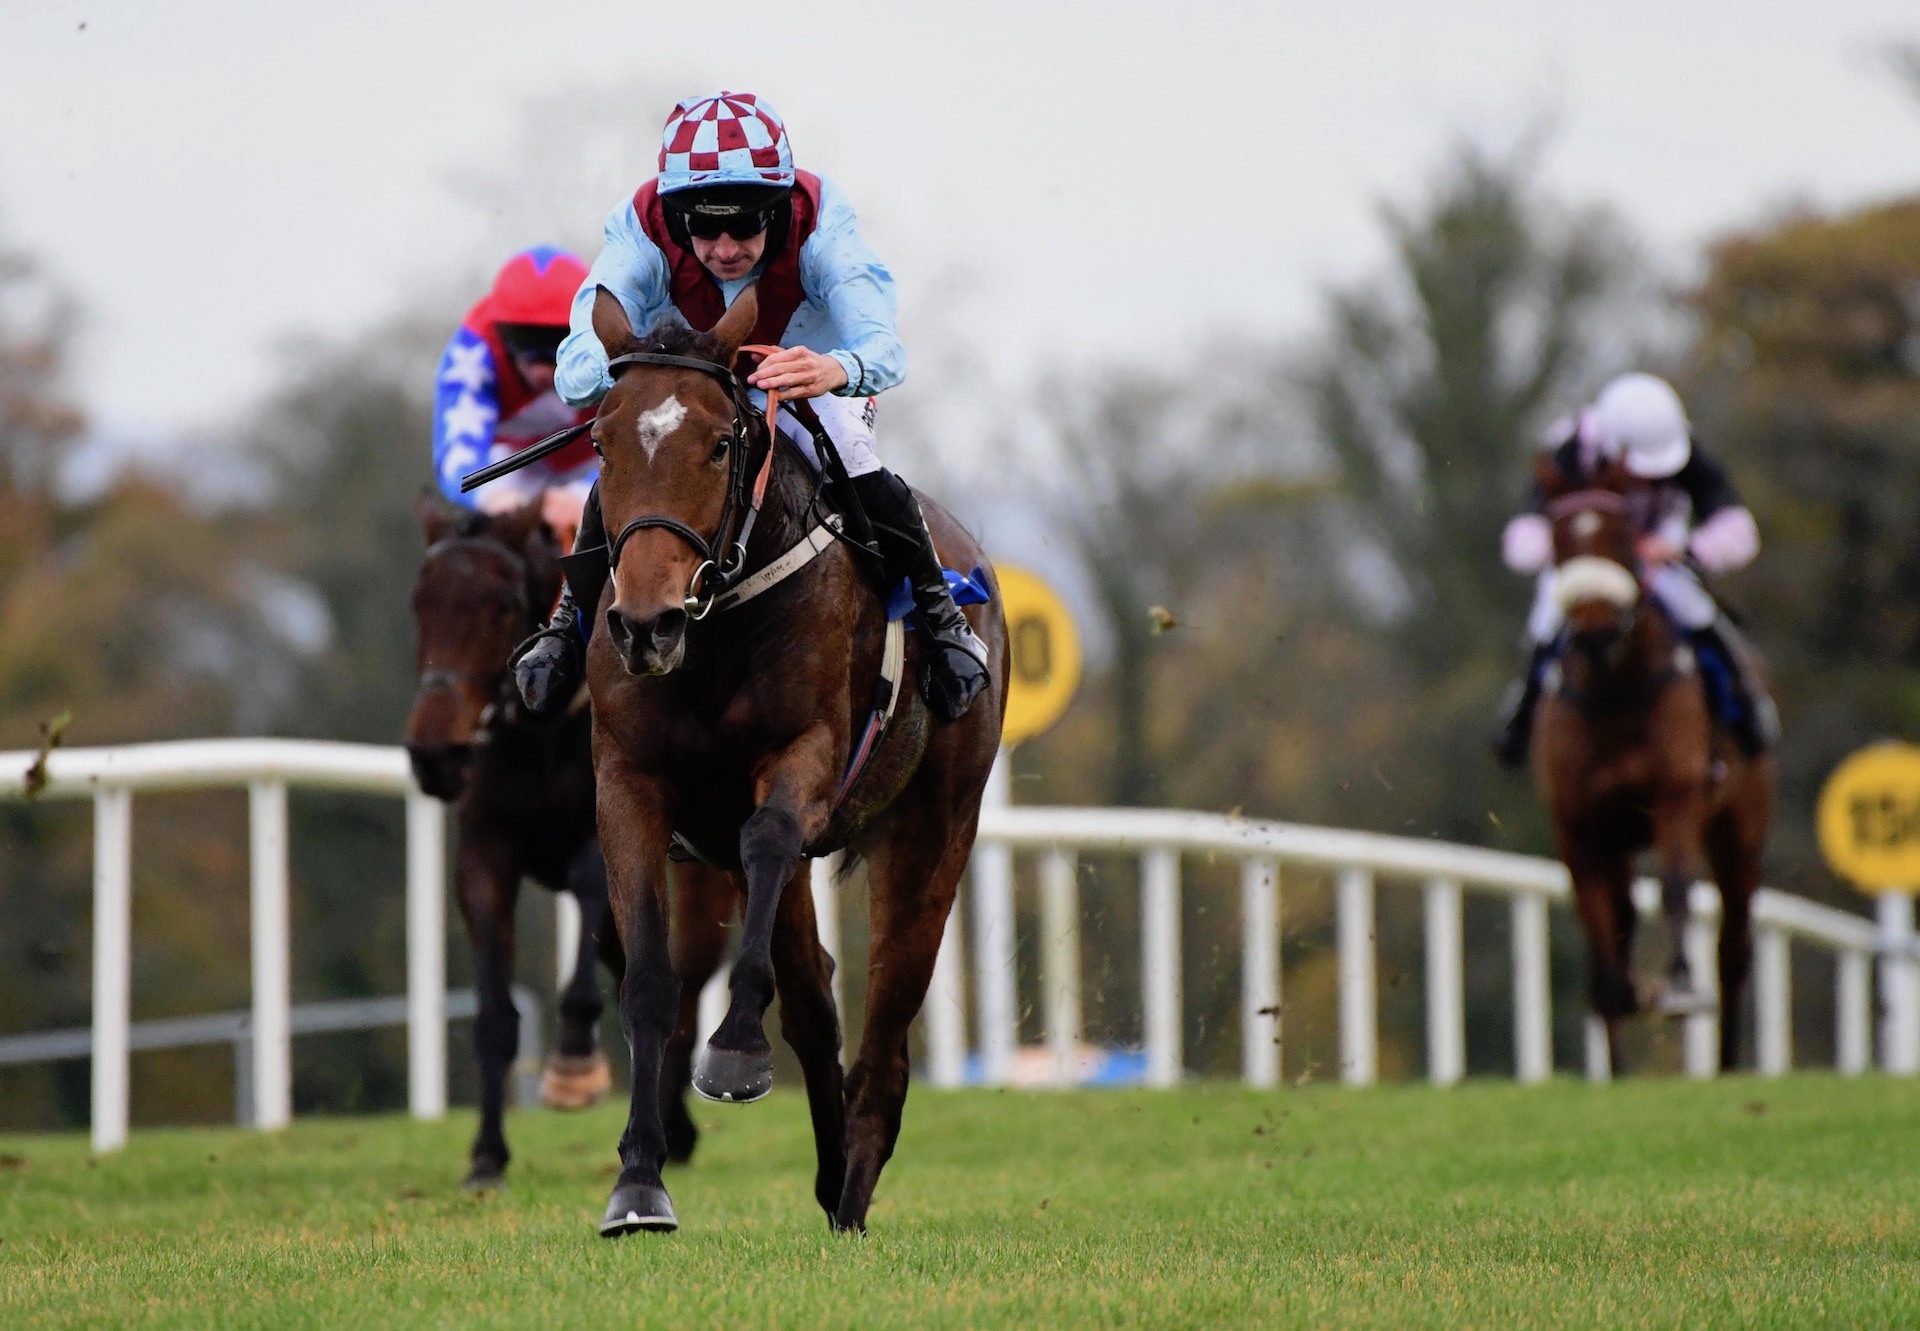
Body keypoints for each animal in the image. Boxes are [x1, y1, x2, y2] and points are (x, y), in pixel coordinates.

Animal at [405, 495, 733, 1183]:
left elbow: (589, 956)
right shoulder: (485, 853)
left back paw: (673, 1123)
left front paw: (575, 1069)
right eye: (420, 602)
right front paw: (487, 1154)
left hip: (701, 874)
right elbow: (495, 1016)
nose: (434, 754)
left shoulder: (602, 833)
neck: (538, 731)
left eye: (502, 606)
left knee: (689, 978)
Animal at [579, 282, 1006, 1236]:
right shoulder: (628, 785)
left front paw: (737, 1051)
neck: (714, 628)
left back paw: (851, 1192)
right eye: (601, 441)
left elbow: (771, 837)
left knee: (885, 1033)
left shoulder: (800, 759)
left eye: (720, 441)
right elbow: (651, 983)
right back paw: (830, 1170)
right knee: (816, 1000)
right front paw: (638, 1180)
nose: (645, 624)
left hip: (936, 829)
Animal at [1528, 457, 1781, 1067]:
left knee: (1733, 942)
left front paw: (1679, 988)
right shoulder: (1578, 823)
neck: (1615, 690)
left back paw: (1727, 1062)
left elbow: (1675, 887)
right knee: (1620, 917)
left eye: (1623, 535)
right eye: (1556, 539)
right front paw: (1620, 997)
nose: (1594, 631)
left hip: (1739, 831)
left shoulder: (1676, 796)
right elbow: (1597, 918)